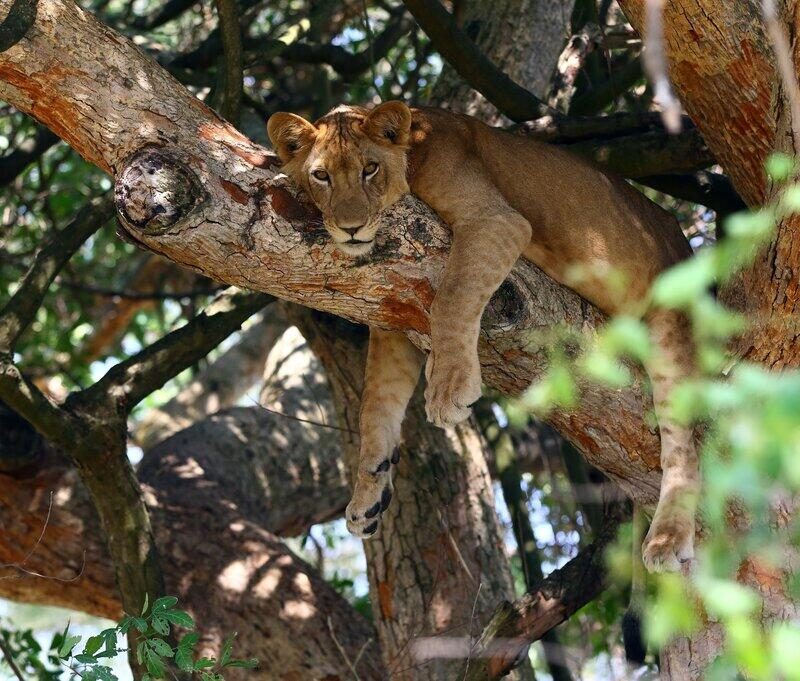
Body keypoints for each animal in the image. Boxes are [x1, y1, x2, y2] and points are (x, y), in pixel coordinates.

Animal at [267, 101, 698, 573]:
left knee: (684, 447)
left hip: (671, 325)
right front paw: (367, 494)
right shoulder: (390, 316)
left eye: (369, 168)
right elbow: (375, 406)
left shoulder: (494, 219)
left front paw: (449, 387)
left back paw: (668, 539)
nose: (351, 228)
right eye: (321, 175)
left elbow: (453, 295)